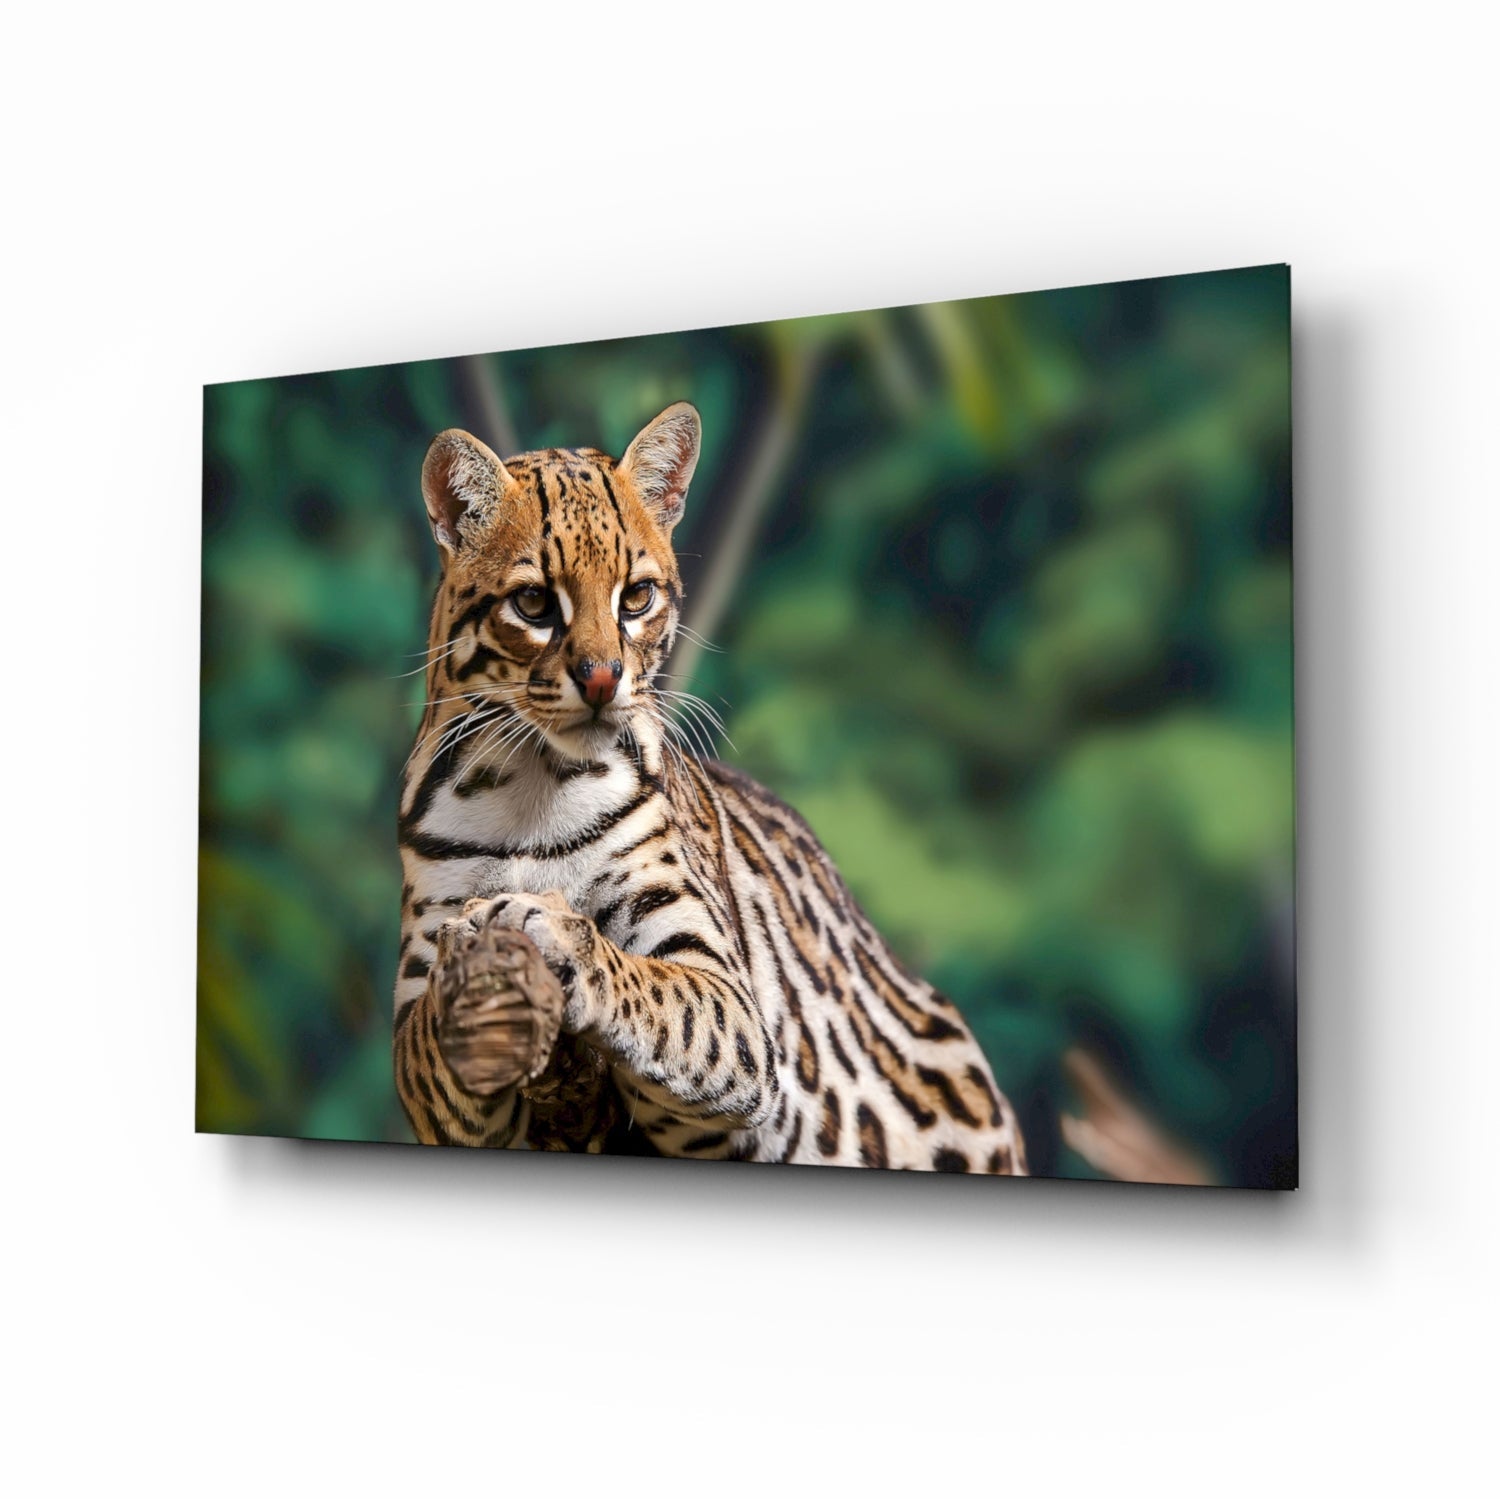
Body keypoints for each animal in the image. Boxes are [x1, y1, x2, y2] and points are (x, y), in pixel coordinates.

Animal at [393, 401, 1027, 1174]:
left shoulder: (730, 999)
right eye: (535, 603)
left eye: (637, 597)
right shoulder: (428, 1040)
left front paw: (555, 932)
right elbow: (427, 1041)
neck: (533, 788)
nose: (602, 679)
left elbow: (652, 988)